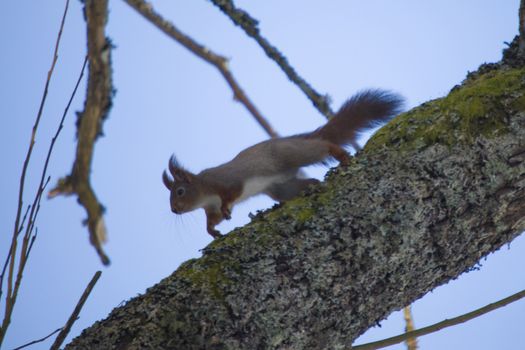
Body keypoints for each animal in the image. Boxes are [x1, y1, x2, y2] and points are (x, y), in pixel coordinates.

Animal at [162, 89, 404, 239]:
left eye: (180, 191)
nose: (174, 210)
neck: (205, 191)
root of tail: (292, 140)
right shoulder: (210, 207)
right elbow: (214, 220)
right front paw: (212, 231)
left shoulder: (228, 181)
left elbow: (231, 194)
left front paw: (226, 208)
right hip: (280, 187)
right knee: (300, 185)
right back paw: (312, 185)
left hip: (293, 154)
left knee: (322, 145)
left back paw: (340, 155)